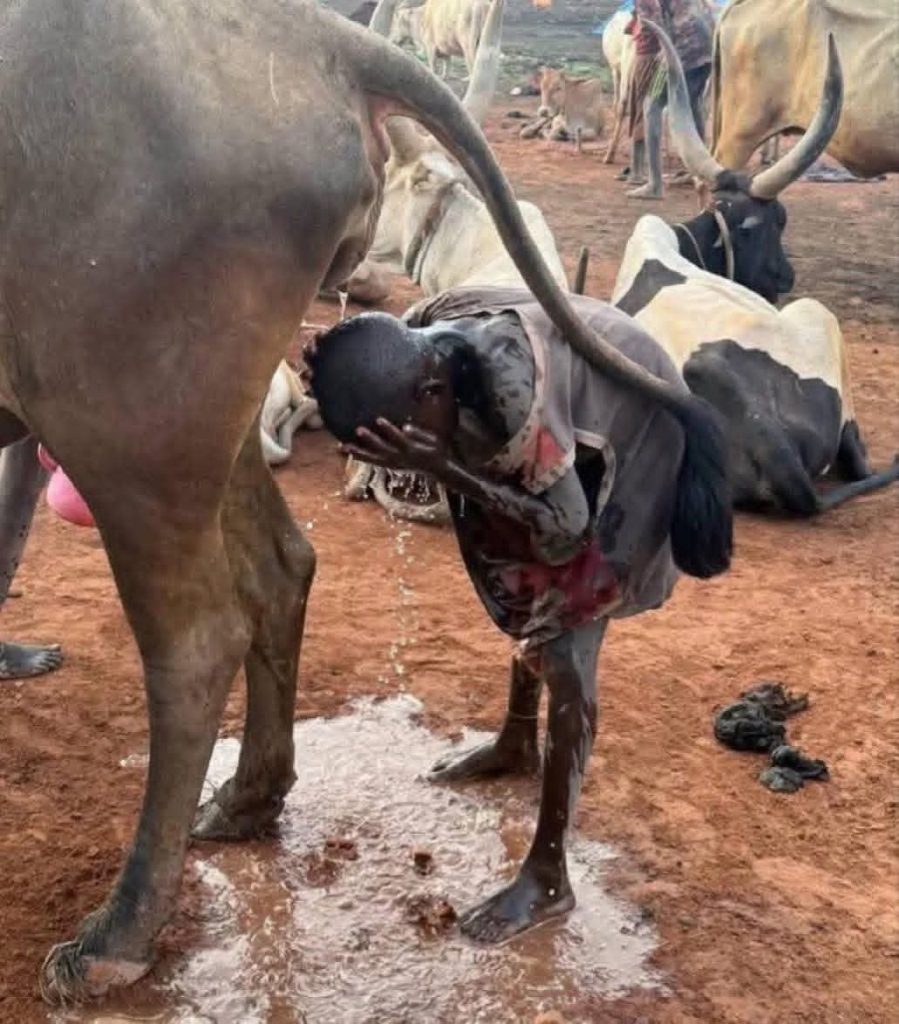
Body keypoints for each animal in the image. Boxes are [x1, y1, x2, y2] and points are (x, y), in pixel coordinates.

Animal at [2, 0, 732, 1002]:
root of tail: (316, 36)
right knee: (285, 568)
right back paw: (256, 798)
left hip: (126, 408)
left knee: (199, 641)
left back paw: (120, 934)